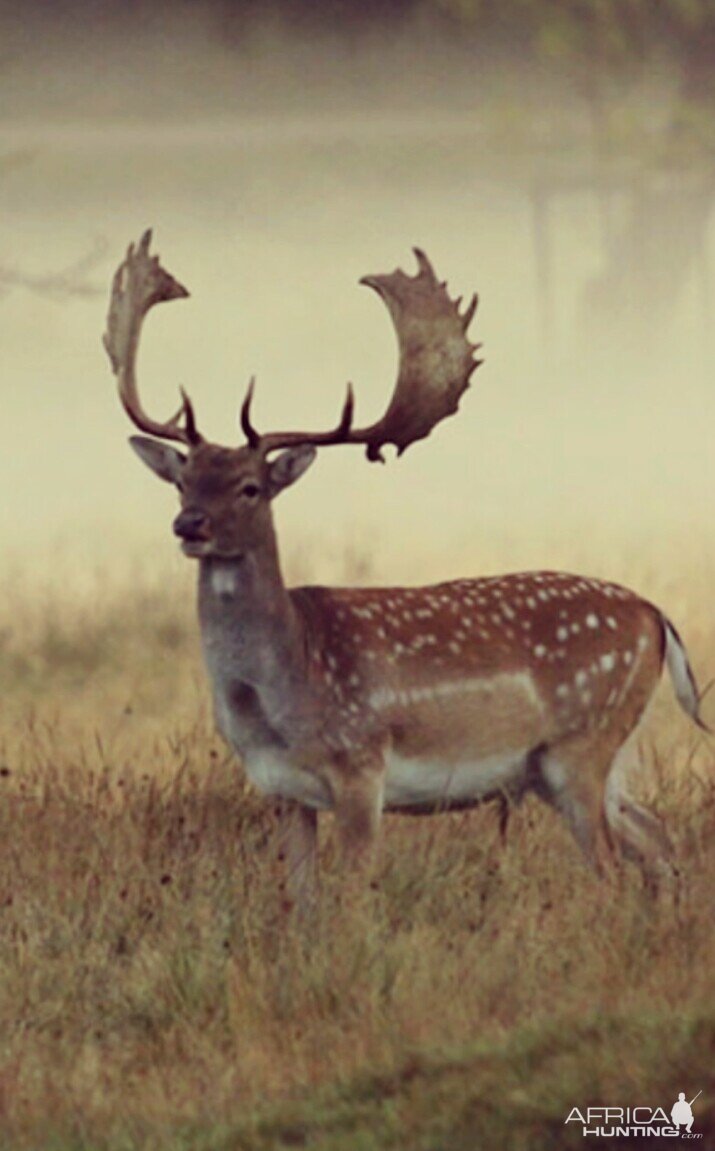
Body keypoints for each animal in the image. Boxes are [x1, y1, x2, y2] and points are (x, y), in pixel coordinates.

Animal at [103, 229, 704, 902]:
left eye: (251, 487)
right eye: (183, 482)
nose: (190, 526)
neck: (278, 700)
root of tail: (657, 616)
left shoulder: (361, 765)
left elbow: (354, 892)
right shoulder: (281, 791)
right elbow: (302, 900)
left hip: (583, 742)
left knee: (611, 866)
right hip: (579, 764)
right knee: (657, 839)